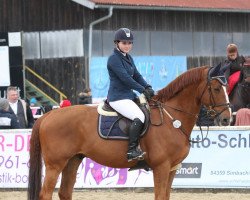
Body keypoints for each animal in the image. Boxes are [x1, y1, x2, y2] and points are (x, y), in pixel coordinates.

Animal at [27, 66, 230, 200]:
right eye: (216, 89)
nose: (227, 119)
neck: (172, 119)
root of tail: (48, 115)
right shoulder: (162, 167)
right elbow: (159, 196)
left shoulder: (172, 168)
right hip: (55, 164)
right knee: (45, 194)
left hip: (72, 160)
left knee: (65, 192)